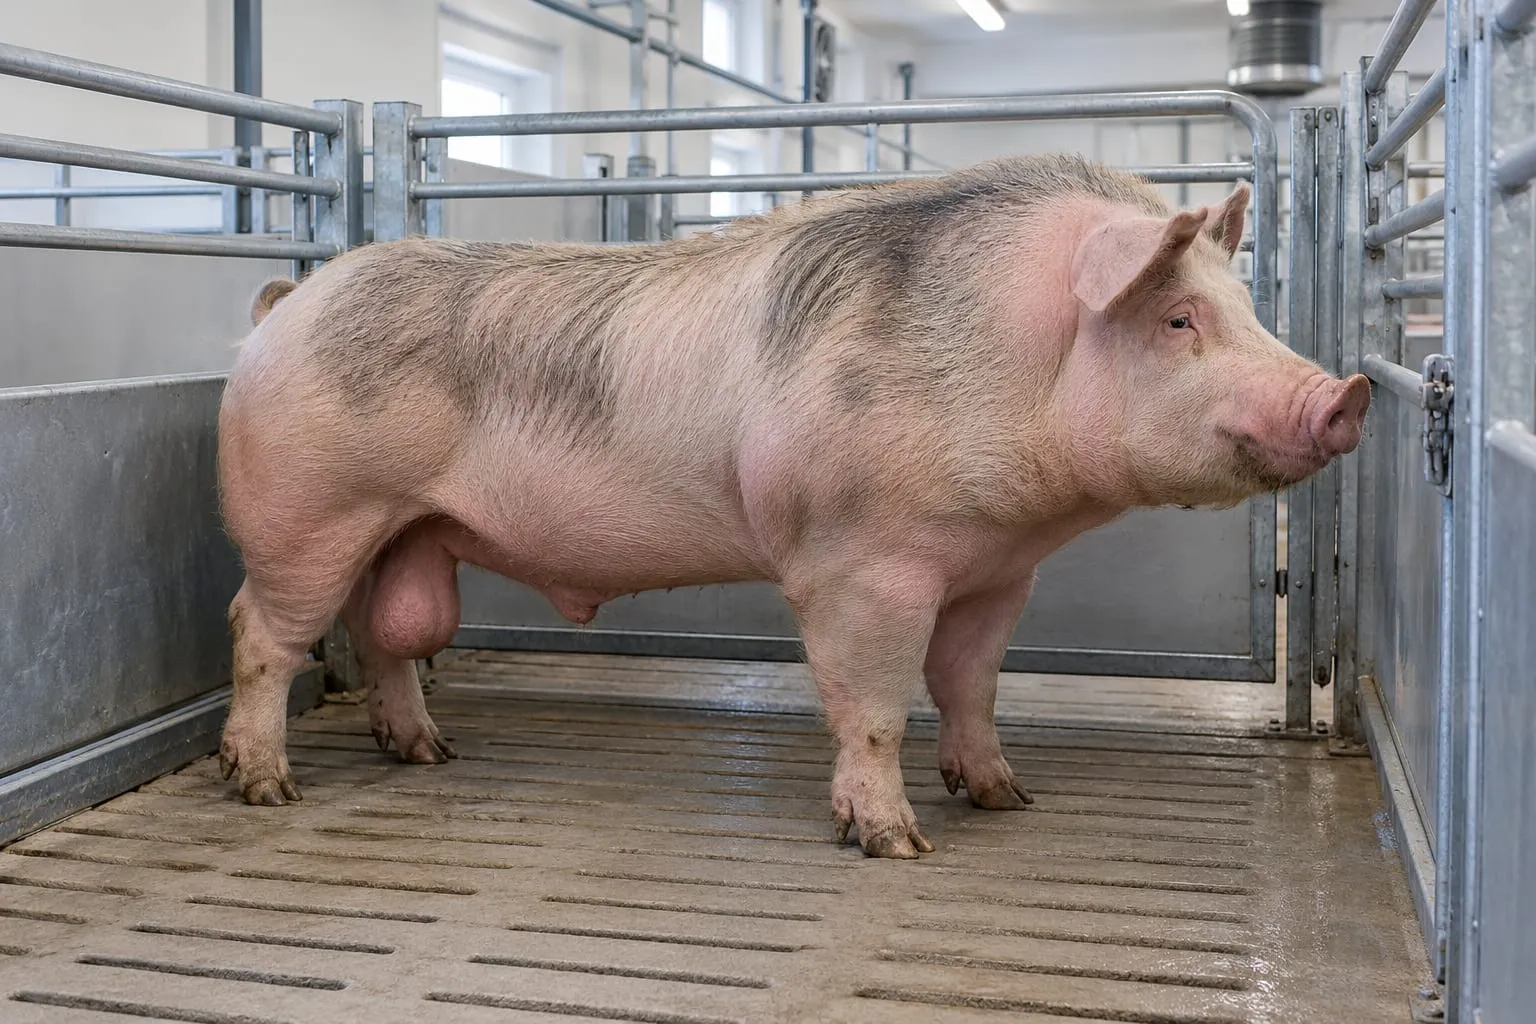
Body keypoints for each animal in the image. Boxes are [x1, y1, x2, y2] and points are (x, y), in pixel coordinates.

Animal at [215, 153, 1369, 858]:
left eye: (1246, 309)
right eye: (1177, 319)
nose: (1348, 394)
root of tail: (285, 305)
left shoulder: (999, 571)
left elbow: (971, 685)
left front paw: (1006, 796)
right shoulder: (860, 560)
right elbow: (875, 699)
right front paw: (896, 842)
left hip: (399, 526)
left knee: (386, 632)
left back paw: (428, 754)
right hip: (306, 512)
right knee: (262, 632)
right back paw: (265, 787)